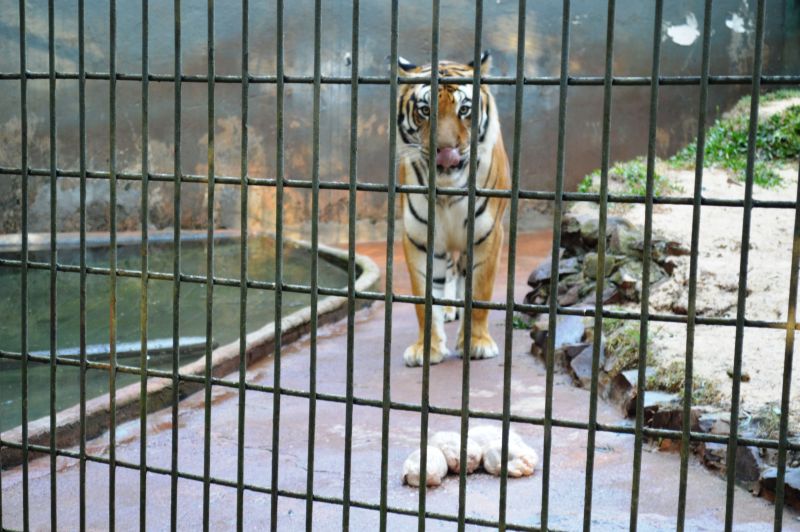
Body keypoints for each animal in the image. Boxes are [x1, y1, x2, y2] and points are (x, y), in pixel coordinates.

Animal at [396, 51, 509, 367]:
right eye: (425, 110)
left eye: (464, 110)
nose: (446, 152)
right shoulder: (420, 237)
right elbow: (424, 299)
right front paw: (427, 348)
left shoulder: (487, 234)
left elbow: (479, 290)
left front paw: (477, 343)